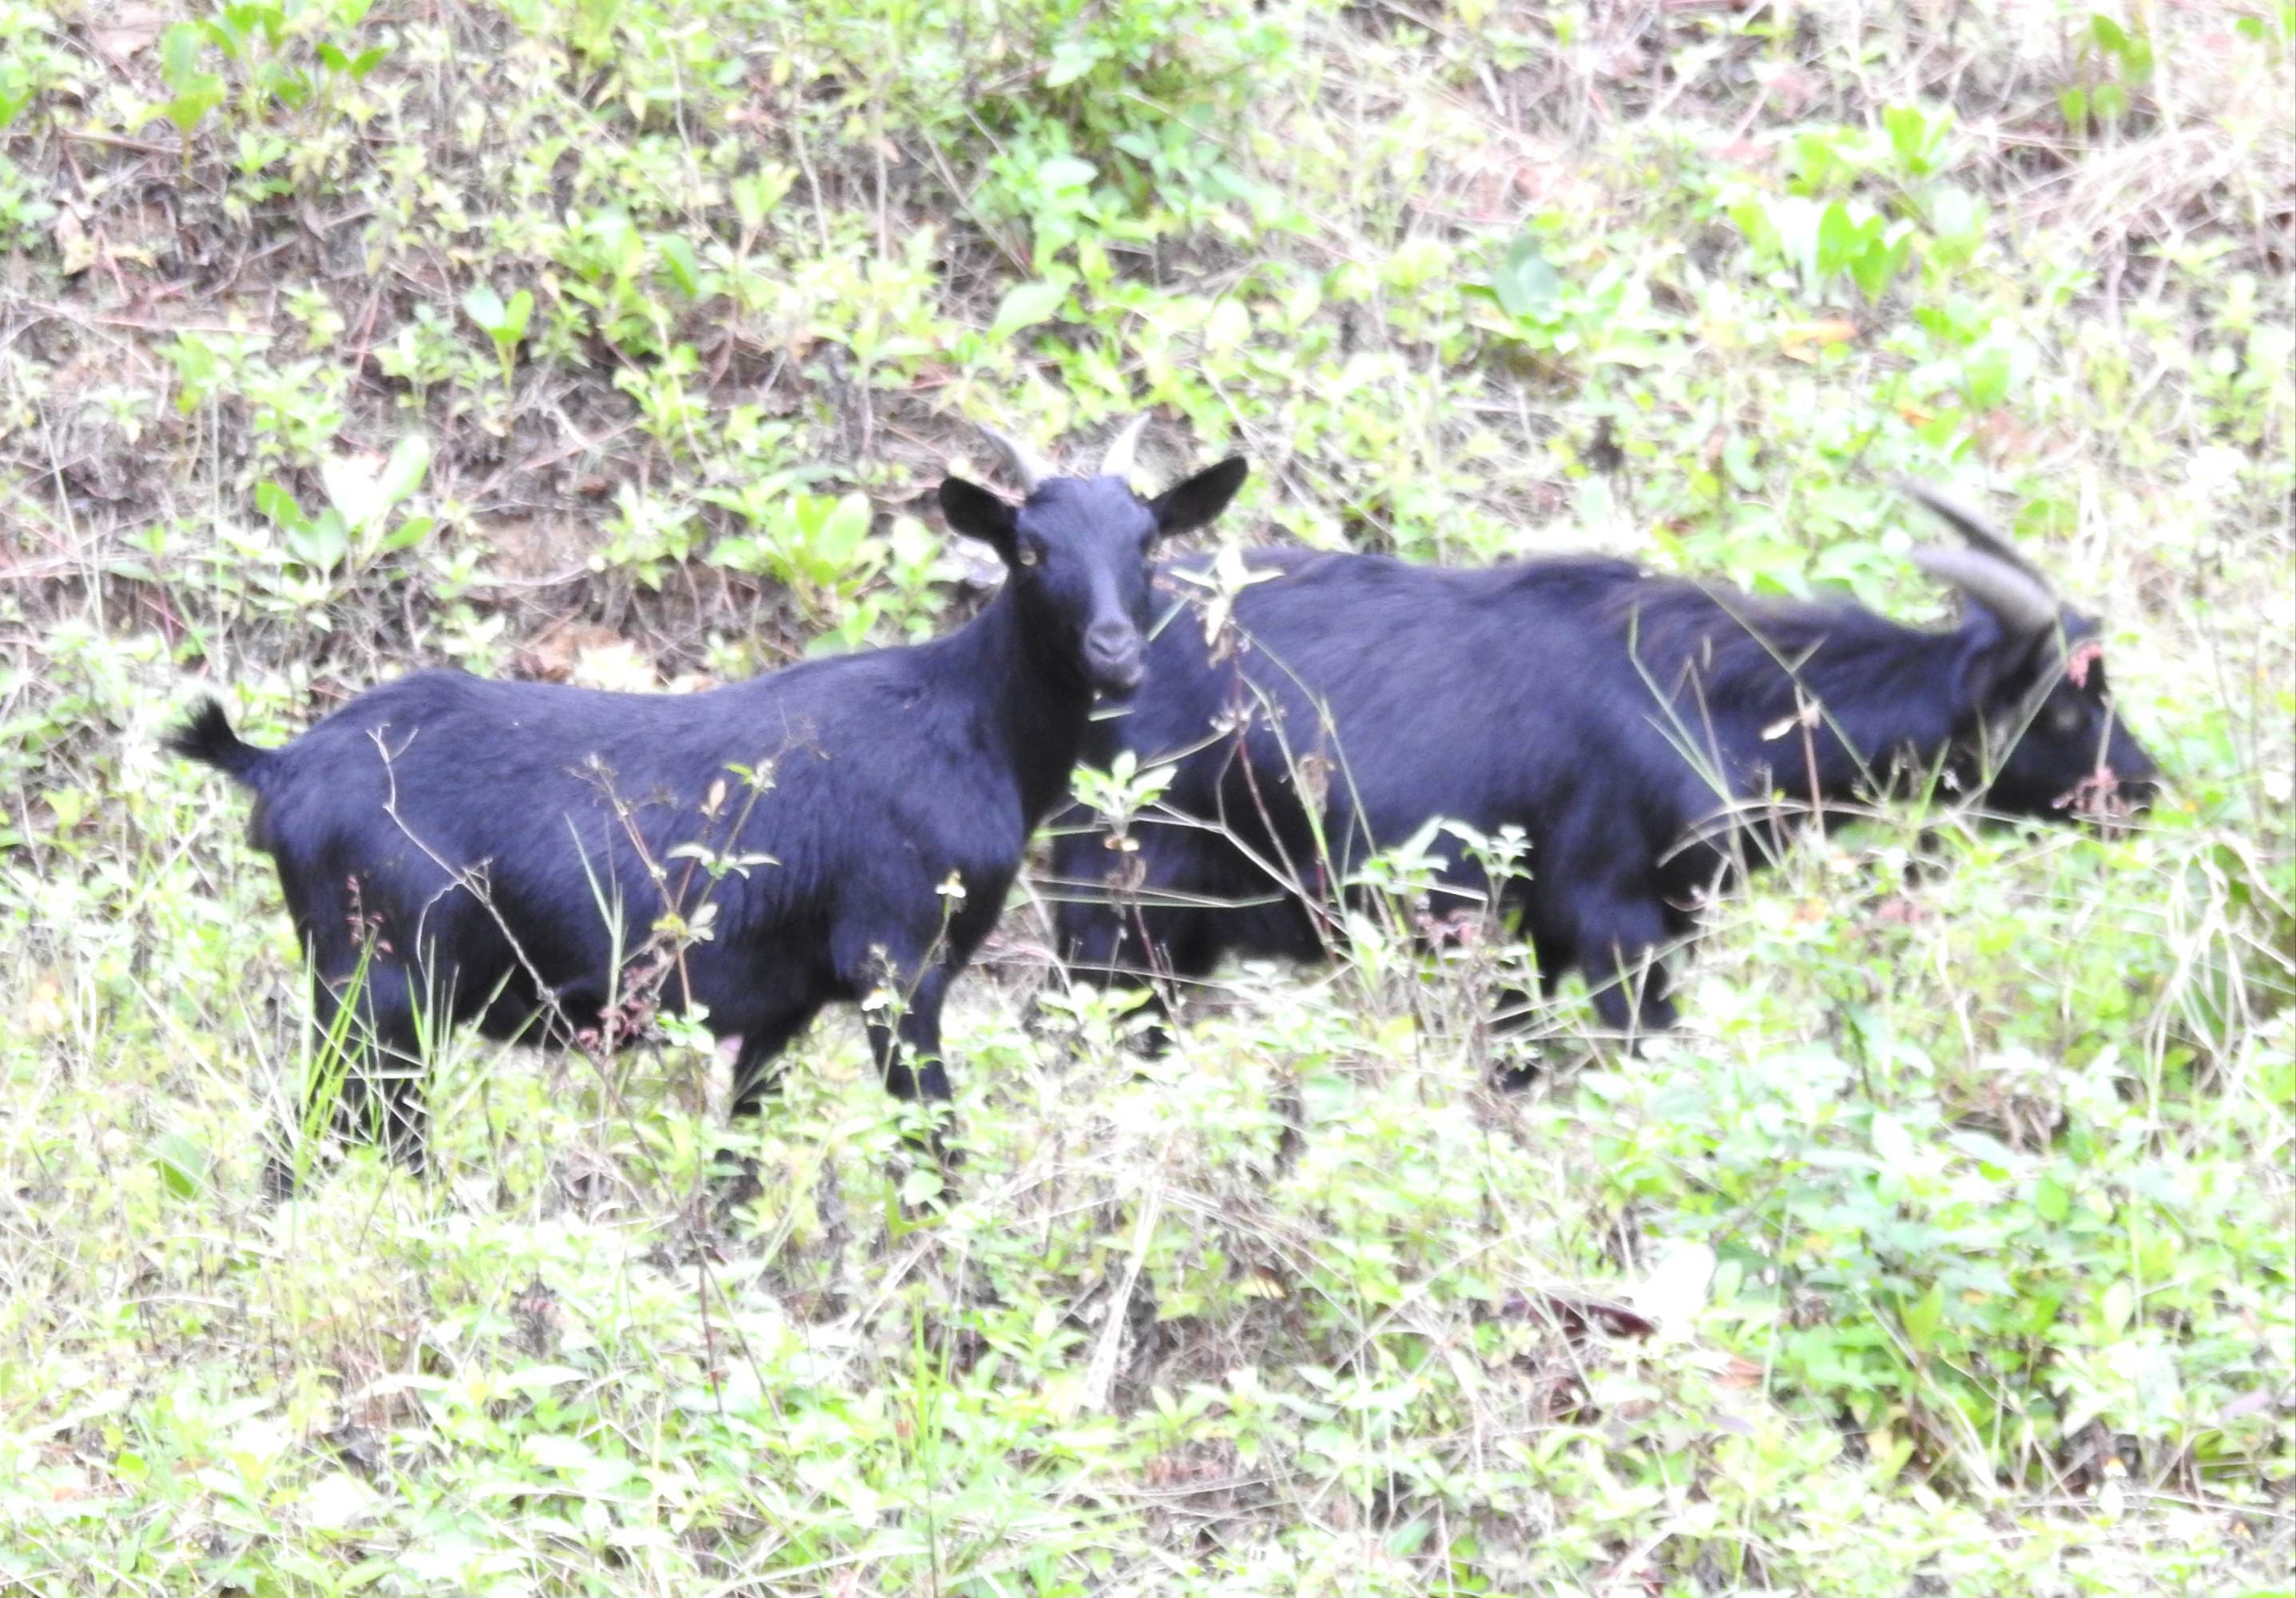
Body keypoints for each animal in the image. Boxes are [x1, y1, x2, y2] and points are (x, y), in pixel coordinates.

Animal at [174, 424, 1257, 1175]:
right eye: (1028, 551)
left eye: (1148, 542)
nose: (1116, 651)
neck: (969, 719)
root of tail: (279, 764)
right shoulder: (897, 962)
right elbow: (933, 1147)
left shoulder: (782, 1004)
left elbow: (739, 1159)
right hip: (382, 984)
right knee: (325, 1140)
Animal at [1051, 479, 2158, 1042]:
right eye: (2069, 701)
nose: (2145, 788)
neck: (1717, 698)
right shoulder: (1621, 923)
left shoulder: (1537, 936)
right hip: (1124, 908)